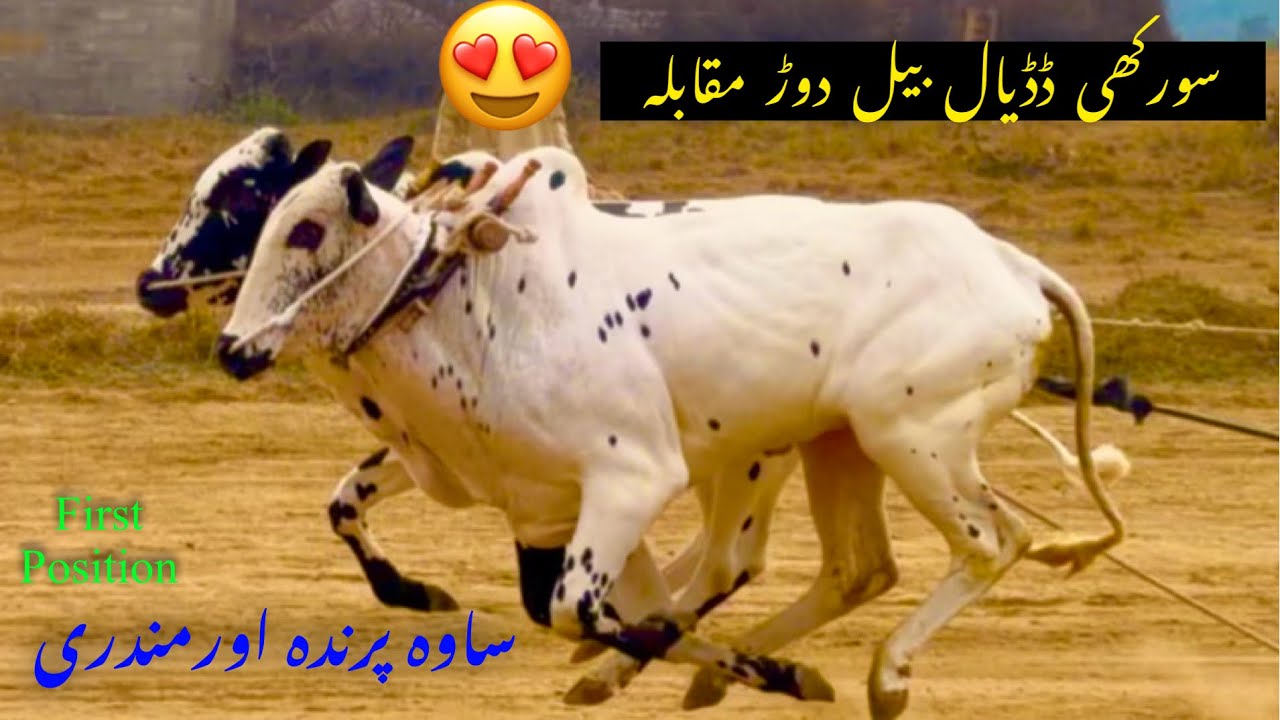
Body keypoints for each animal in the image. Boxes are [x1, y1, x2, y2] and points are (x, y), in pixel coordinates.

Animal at [212, 147, 1129, 718]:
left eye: (305, 230)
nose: (231, 346)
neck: (474, 297)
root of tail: (1014, 266)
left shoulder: (632, 480)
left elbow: (591, 610)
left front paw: (763, 673)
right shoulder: (537, 507)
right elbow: (356, 509)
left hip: (911, 440)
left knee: (990, 542)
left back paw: (888, 677)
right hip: (840, 447)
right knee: (856, 567)